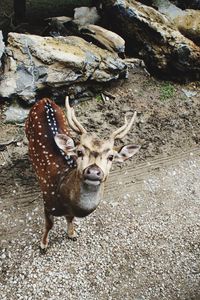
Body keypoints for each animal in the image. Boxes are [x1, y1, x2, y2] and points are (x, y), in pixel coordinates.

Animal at [25, 96, 140, 251]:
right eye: (79, 152)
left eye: (111, 157)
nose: (94, 171)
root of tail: (45, 99)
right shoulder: (47, 202)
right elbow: (49, 225)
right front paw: (43, 244)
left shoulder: (69, 212)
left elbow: (70, 218)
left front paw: (72, 234)